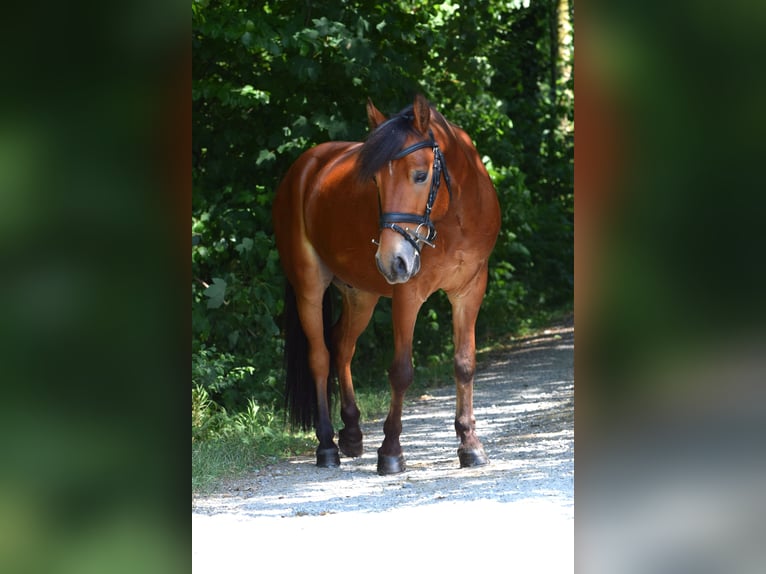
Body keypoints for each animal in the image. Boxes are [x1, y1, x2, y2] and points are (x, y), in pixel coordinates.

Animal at [272, 94, 500, 474]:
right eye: (376, 183)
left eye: (420, 175)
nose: (391, 261)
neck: (452, 218)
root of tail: (303, 169)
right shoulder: (408, 294)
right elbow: (401, 371)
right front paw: (391, 451)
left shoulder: (470, 290)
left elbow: (465, 364)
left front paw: (470, 445)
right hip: (309, 287)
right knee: (320, 356)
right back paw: (327, 446)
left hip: (360, 295)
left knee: (342, 346)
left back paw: (351, 434)